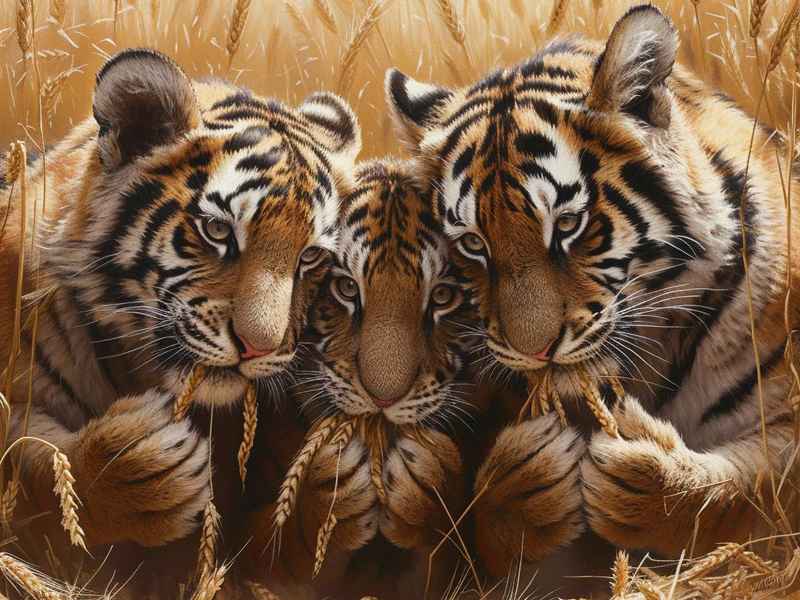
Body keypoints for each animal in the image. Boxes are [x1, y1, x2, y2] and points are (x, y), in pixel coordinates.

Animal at [0, 48, 360, 588]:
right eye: (217, 230)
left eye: (311, 256)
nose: (259, 347)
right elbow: (29, 465)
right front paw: (138, 466)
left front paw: (335, 479)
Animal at [384, 3, 799, 577]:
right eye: (472, 243)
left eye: (567, 224)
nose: (534, 351)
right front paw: (523, 480)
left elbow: (763, 487)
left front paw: (650, 480)